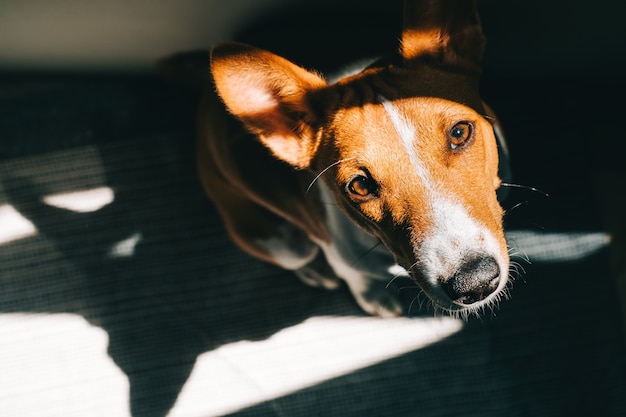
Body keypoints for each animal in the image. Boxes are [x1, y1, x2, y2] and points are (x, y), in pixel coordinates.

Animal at [165, 0, 508, 316]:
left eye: (460, 133)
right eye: (359, 186)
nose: (475, 283)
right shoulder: (342, 257)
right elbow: (355, 277)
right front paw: (374, 297)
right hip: (280, 243)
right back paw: (314, 270)